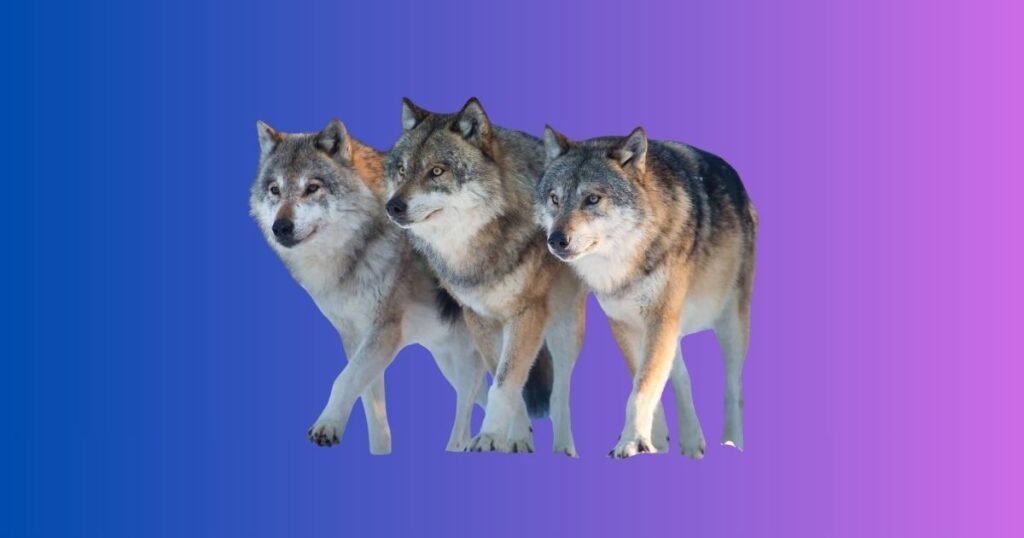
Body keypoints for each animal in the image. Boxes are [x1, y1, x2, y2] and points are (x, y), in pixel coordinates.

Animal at [250, 119, 539, 453]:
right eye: (274, 190)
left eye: (312, 187)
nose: (281, 227)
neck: (357, 251)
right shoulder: (355, 339)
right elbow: (372, 410)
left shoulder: (385, 331)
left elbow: (342, 381)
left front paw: (326, 426)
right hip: (448, 357)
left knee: (477, 399)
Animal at [382, 98, 588, 456]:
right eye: (402, 170)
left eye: (437, 171)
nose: (392, 206)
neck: (474, 252)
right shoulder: (478, 317)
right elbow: (504, 378)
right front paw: (512, 439)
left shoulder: (527, 313)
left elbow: (506, 382)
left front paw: (491, 435)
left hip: (564, 326)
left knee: (561, 390)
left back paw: (564, 448)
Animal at [537, 125, 758, 458]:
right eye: (555, 198)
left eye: (592, 199)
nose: (555, 240)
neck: (625, 263)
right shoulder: (625, 324)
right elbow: (645, 385)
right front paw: (650, 442)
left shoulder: (658, 319)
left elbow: (642, 389)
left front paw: (631, 442)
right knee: (682, 379)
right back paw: (691, 442)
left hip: (729, 324)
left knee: (734, 388)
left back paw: (732, 444)